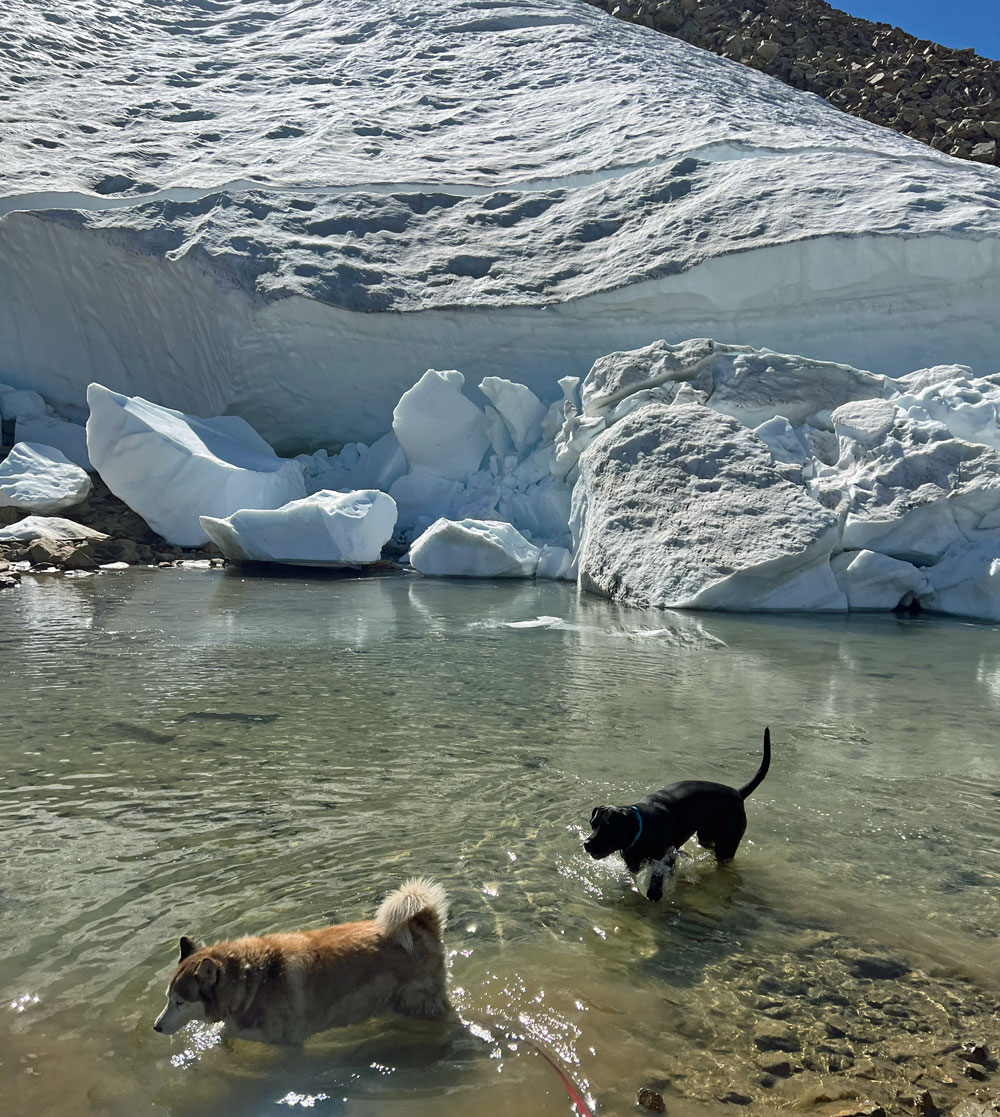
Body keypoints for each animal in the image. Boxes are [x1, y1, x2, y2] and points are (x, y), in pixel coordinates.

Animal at [153, 875, 449, 1041]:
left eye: (179, 1002)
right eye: (167, 998)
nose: (156, 1027)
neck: (252, 981)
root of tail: (421, 925)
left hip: (418, 1003)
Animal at [581, 728, 768, 902]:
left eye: (608, 827)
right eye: (592, 823)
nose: (587, 844)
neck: (642, 827)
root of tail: (738, 792)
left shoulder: (664, 860)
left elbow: (656, 880)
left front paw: (655, 894)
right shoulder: (633, 863)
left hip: (726, 846)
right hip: (706, 837)